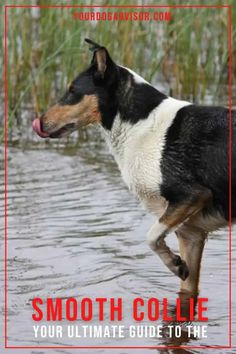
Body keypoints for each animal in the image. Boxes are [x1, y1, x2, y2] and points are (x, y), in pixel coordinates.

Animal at [32, 38, 235, 294]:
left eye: (72, 90)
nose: (40, 122)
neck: (141, 124)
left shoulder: (191, 195)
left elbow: (151, 237)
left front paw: (174, 263)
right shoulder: (191, 233)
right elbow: (187, 287)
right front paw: (179, 267)